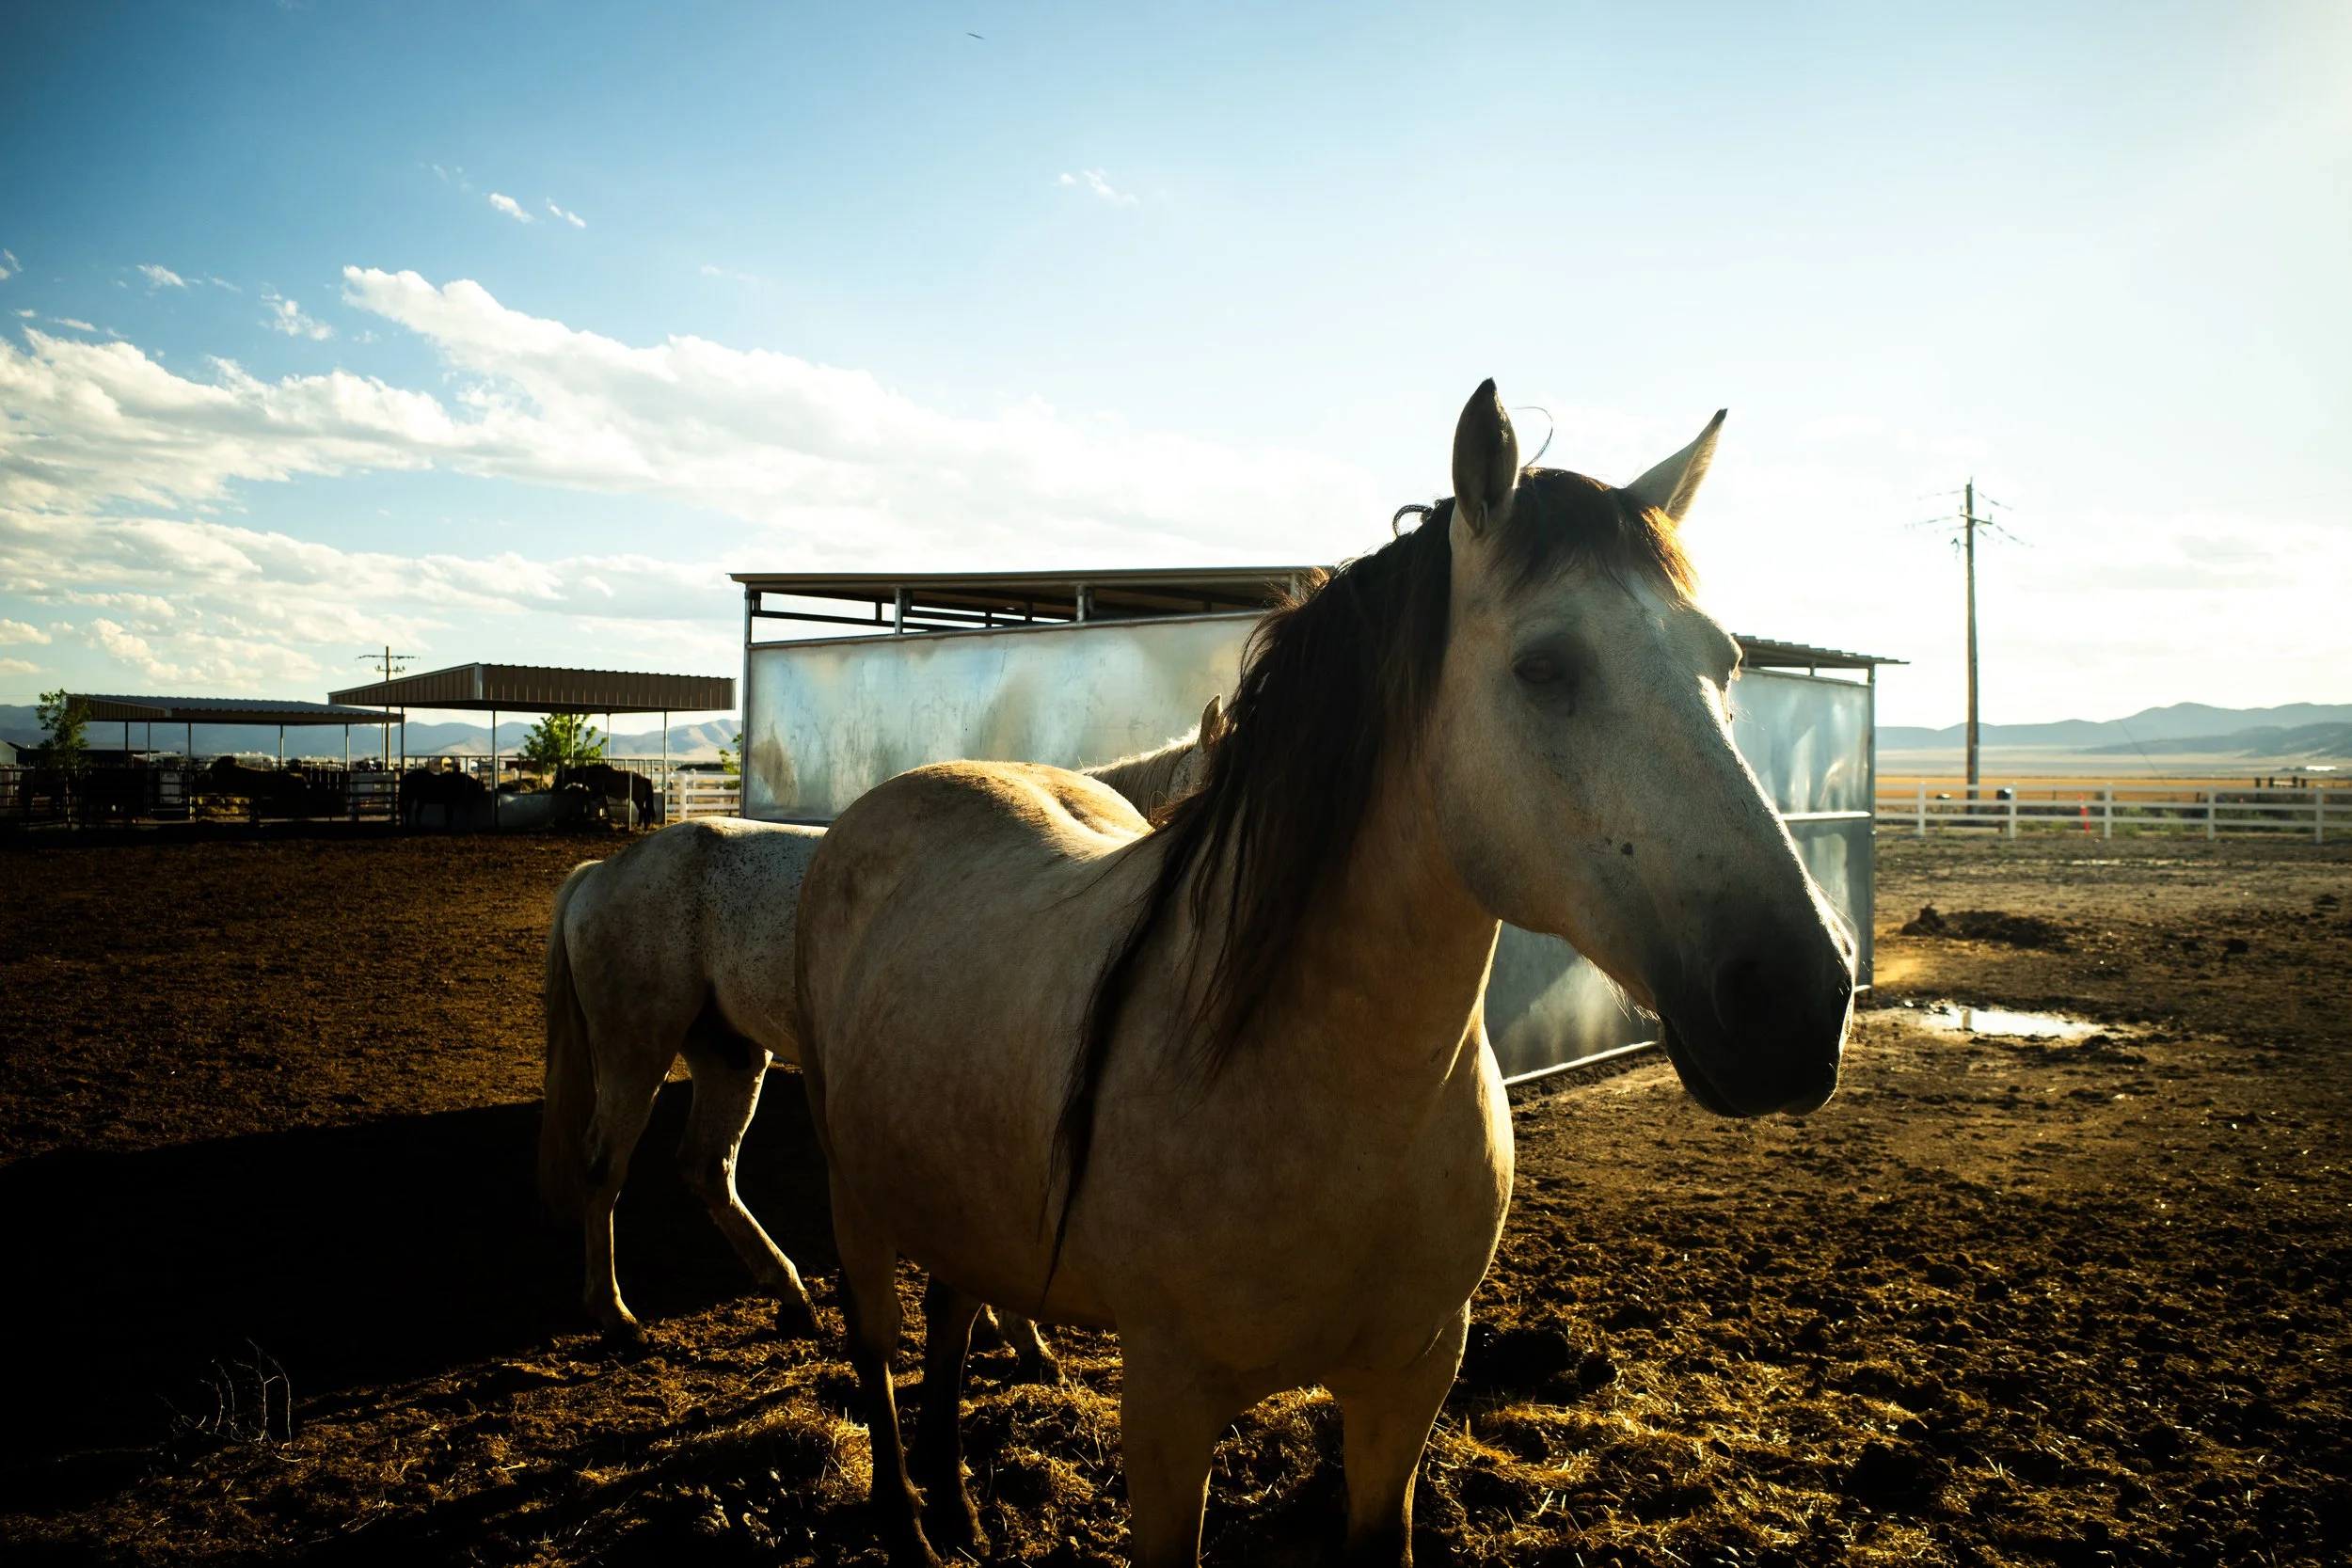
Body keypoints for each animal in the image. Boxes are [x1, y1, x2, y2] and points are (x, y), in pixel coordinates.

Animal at [537, 699, 1226, 1372]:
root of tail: (602, 872)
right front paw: (1019, 1336)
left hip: (729, 1053)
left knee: (708, 1168)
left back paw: (791, 1297)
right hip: (636, 1050)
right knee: (603, 1166)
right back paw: (615, 1316)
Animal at [792, 381, 1857, 1567]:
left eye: (1724, 664)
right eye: (1544, 666)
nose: (1797, 1000)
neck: (1322, 1085)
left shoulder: (1407, 1383)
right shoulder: (1166, 1405)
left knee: (949, 1317)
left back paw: (958, 1501)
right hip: (856, 1194)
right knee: (879, 1342)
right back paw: (907, 1521)